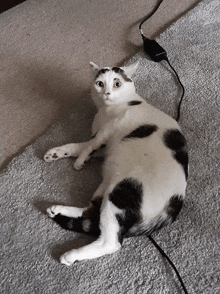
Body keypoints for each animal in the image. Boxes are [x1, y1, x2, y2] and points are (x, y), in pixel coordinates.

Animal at [43, 60, 188, 266]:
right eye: (100, 83)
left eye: (117, 83)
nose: (107, 93)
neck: (105, 111)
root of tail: (176, 201)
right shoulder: (106, 146)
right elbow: (80, 145)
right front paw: (56, 153)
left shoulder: (107, 131)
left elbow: (90, 145)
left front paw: (78, 162)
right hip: (107, 186)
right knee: (90, 212)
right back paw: (57, 210)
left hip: (122, 191)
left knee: (110, 242)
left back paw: (70, 255)